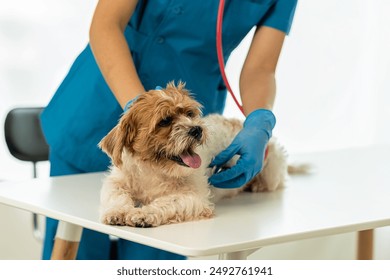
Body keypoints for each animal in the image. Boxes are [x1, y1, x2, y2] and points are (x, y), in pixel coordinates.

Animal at [98, 81, 292, 228]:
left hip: (271, 170)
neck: (154, 171)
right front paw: (118, 211)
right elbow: (117, 195)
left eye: (190, 114)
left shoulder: (194, 198)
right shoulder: (116, 182)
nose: (196, 129)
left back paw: (257, 185)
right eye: (165, 120)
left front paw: (144, 213)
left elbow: (167, 202)